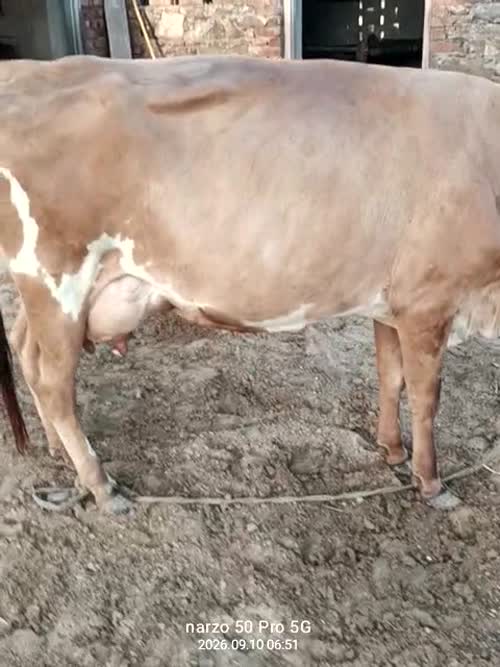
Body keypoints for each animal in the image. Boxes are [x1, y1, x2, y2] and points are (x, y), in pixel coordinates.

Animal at [1, 54, 500, 514]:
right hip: (55, 279)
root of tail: (28, 69)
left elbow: (390, 377)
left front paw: (392, 450)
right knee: (54, 384)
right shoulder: (428, 303)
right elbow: (426, 398)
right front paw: (431, 483)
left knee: (24, 346)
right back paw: (100, 484)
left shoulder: (391, 305)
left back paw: (55, 449)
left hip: (51, 290)